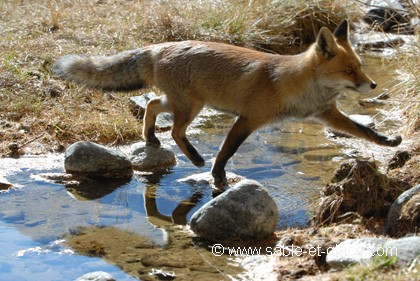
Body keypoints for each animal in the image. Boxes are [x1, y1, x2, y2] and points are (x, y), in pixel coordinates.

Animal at [54, 19, 402, 186]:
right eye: (349, 70)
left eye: (360, 66)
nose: (372, 84)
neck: (294, 86)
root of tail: (161, 46)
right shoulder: (248, 119)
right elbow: (227, 150)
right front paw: (218, 175)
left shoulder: (325, 114)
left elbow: (364, 131)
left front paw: (388, 141)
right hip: (191, 107)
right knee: (176, 131)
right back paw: (195, 158)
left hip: (181, 102)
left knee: (152, 104)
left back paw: (151, 138)